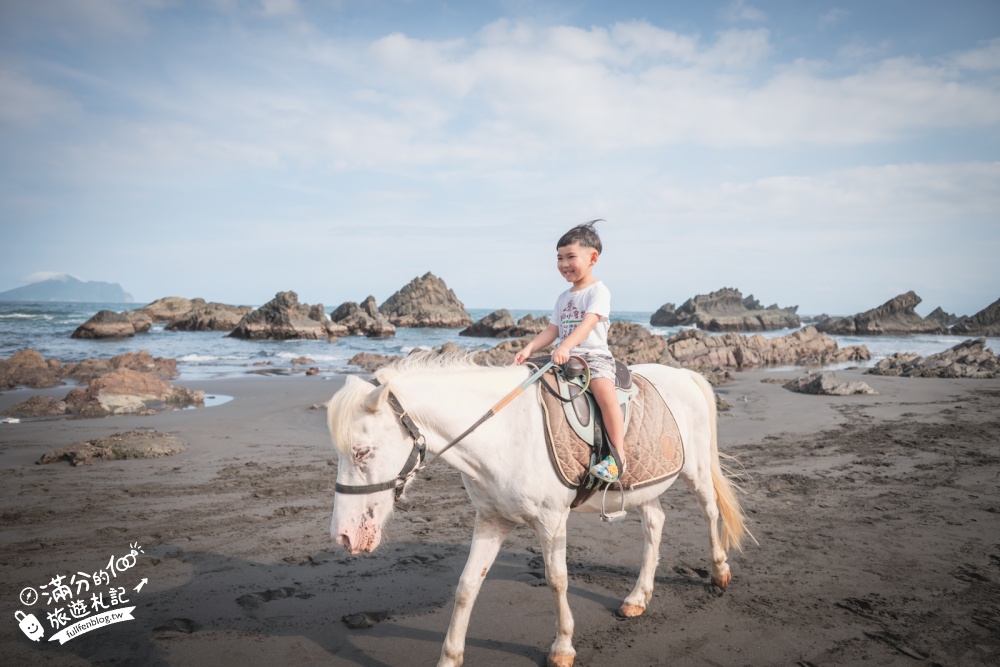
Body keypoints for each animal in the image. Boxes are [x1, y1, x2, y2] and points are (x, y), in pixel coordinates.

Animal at [327, 352, 749, 667]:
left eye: (362, 452)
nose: (343, 536)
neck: (501, 436)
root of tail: (684, 375)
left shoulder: (551, 520)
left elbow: (556, 579)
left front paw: (562, 648)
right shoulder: (491, 520)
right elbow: (467, 586)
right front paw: (450, 656)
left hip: (696, 471)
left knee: (710, 512)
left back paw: (719, 573)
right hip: (642, 485)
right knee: (656, 524)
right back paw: (637, 598)